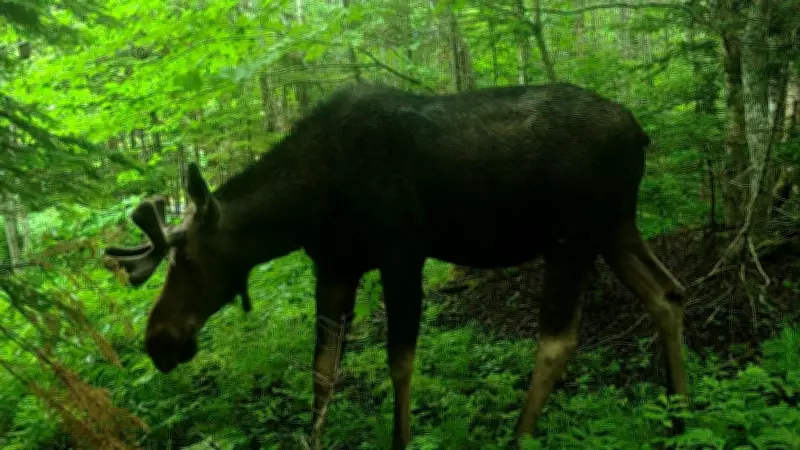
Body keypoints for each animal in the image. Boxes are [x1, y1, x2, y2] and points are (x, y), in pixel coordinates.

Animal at [103, 82, 687, 449]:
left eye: (189, 257)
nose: (159, 340)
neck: (306, 204)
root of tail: (641, 134)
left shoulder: (402, 252)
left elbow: (399, 361)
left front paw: (400, 438)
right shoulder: (335, 266)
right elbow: (323, 369)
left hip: (573, 236)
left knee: (558, 340)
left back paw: (521, 436)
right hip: (615, 227)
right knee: (668, 293)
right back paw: (679, 414)